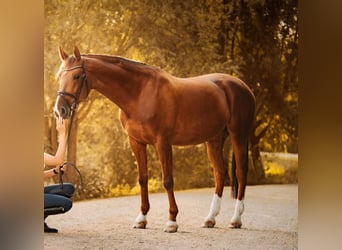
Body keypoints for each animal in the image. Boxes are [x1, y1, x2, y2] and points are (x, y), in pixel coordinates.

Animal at [54, 46, 255, 232]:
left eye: (77, 76)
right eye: (59, 76)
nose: (60, 110)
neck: (140, 94)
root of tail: (242, 86)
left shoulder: (162, 142)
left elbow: (167, 180)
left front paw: (172, 221)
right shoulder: (136, 142)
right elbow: (143, 179)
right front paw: (141, 219)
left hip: (238, 135)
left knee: (241, 172)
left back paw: (236, 219)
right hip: (213, 140)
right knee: (220, 174)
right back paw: (210, 219)